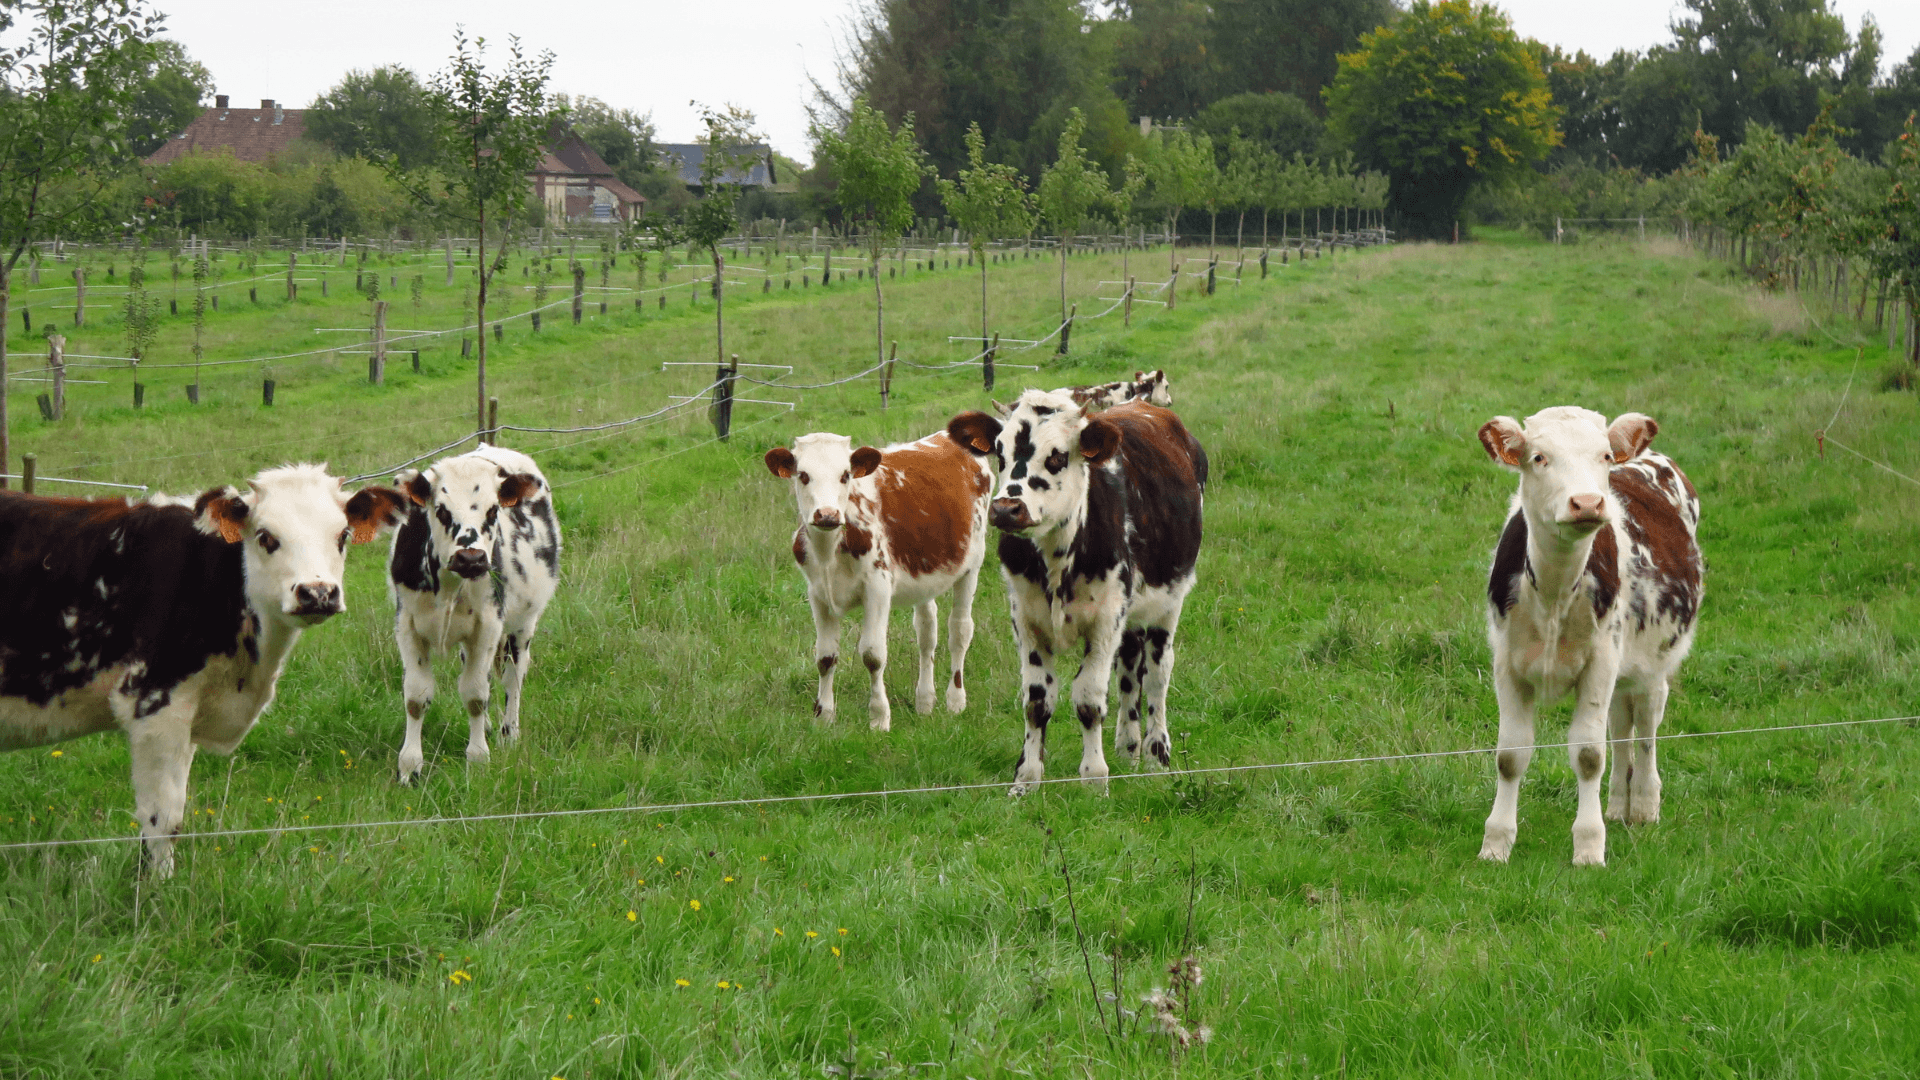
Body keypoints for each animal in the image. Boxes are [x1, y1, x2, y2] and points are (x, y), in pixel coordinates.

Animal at [0, 463, 408, 876]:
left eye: (342, 535)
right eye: (266, 537)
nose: (318, 593)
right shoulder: (155, 704)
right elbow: (163, 820)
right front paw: (159, 886)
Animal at [385, 441, 560, 776]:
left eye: (493, 511)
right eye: (440, 509)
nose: (471, 558)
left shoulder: (489, 625)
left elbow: (475, 695)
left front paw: (478, 757)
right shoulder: (407, 625)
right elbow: (416, 696)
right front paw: (410, 765)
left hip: (523, 624)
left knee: (513, 676)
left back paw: (508, 733)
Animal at [768, 426, 998, 722]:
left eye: (845, 475)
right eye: (804, 475)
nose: (827, 515)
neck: (829, 551)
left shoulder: (877, 589)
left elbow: (873, 655)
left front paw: (879, 717)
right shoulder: (817, 593)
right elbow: (825, 656)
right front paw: (824, 716)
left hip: (972, 566)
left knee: (959, 631)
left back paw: (955, 700)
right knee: (927, 632)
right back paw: (925, 700)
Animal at [948, 386, 1205, 791]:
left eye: (1056, 456)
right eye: (999, 453)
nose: (1006, 509)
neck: (1057, 560)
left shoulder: (1106, 619)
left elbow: (1088, 699)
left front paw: (1095, 778)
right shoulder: (1025, 618)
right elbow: (1037, 701)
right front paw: (1027, 779)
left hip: (1168, 603)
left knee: (1157, 676)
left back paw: (1156, 756)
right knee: (1129, 671)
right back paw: (1128, 747)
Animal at [1474, 405, 1704, 864]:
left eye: (1604, 456)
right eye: (1538, 457)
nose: (1587, 502)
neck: (1555, 594)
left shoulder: (1601, 661)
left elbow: (1588, 754)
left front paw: (1588, 846)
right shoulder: (1506, 664)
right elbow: (1510, 754)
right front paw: (1497, 842)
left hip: (1650, 662)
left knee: (1646, 723)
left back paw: (1644, 804)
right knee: (1621, 724)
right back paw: (1617, 805)